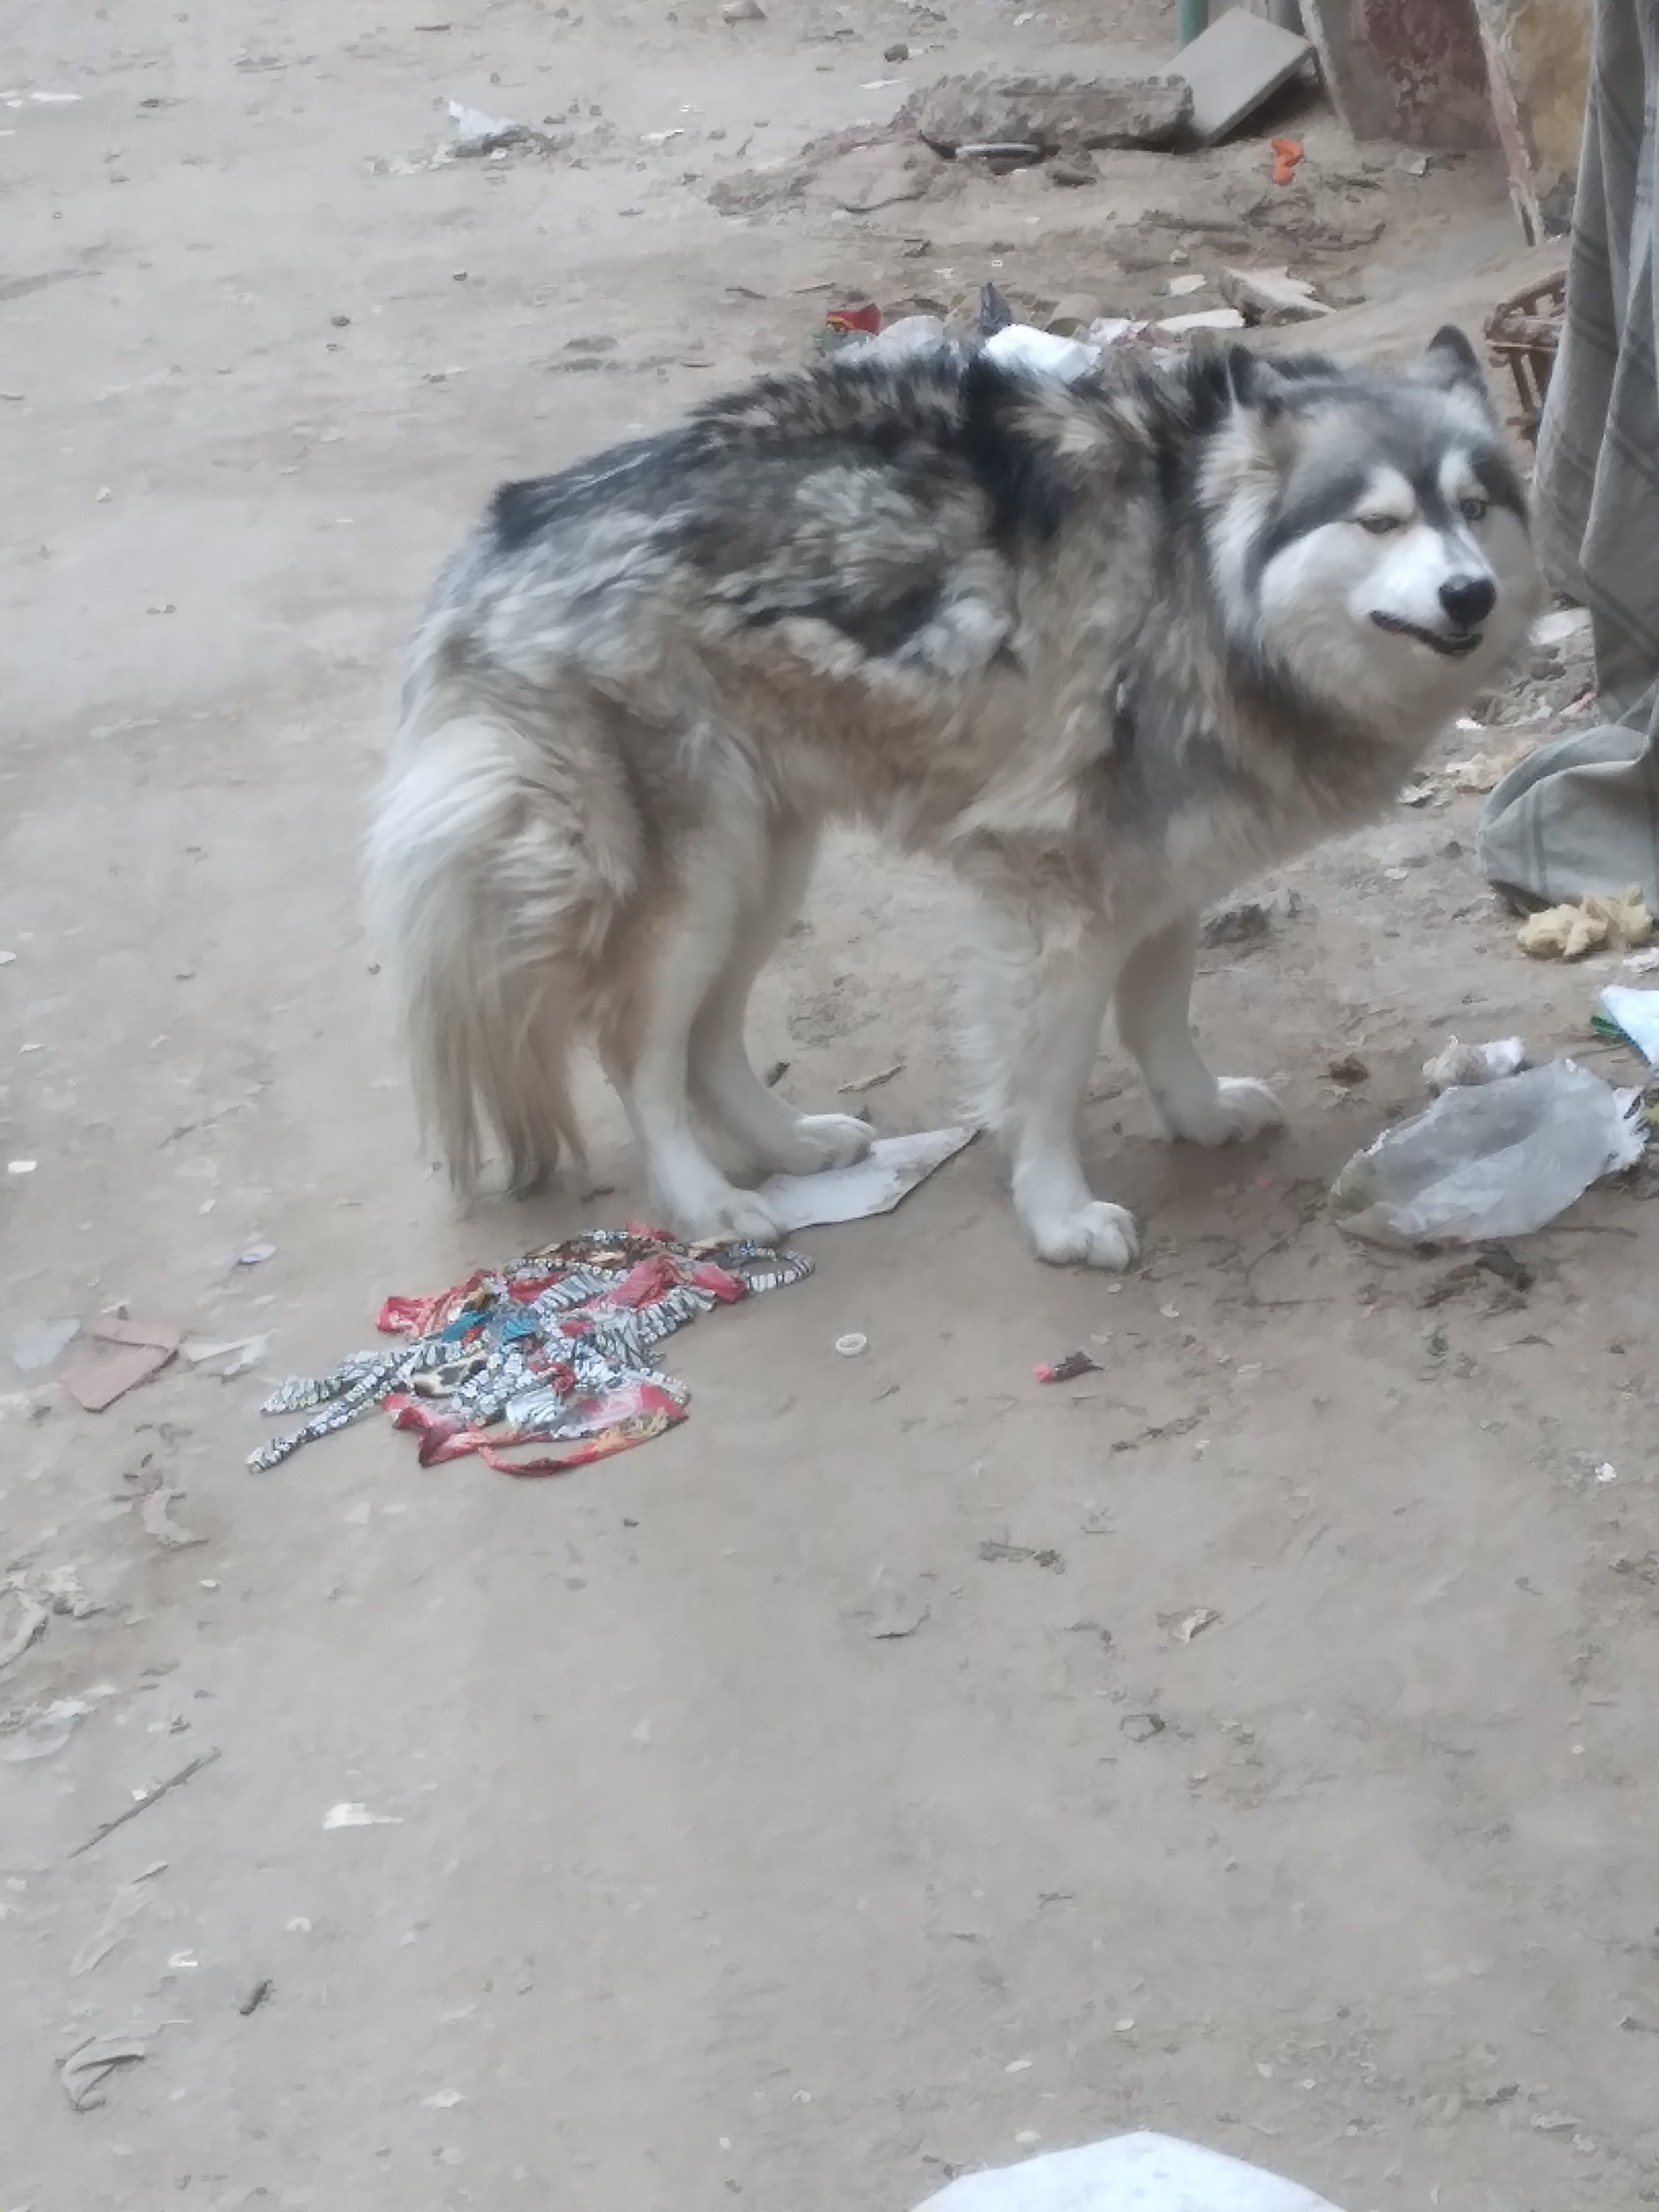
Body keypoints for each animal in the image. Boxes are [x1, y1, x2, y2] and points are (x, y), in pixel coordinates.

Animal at [367, 325, 1539, 1267]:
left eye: (1476, 508)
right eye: (1380, 521)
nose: (1472, 594)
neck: (1202, 575)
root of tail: (504, 530)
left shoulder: (1162, 871)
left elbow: (1161, 1018)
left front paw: (1197, 1114)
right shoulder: (1060, 895)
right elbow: (1049, 1076)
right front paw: (1060, 1218)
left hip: (762, 870)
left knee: (707, 1041)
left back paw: (792, 1145)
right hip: (694, 883)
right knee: (635, 1053)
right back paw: (709, 1205)